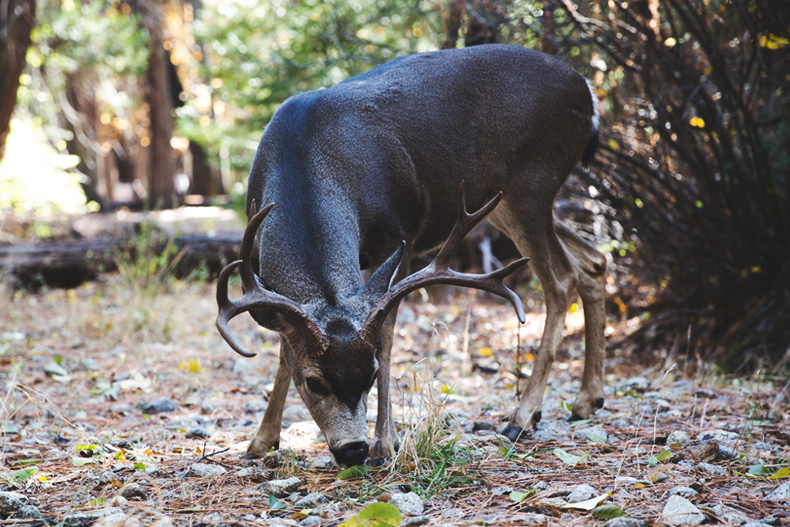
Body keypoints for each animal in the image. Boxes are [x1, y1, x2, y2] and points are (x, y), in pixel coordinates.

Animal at [217, 44, 608, 466]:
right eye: (314, 382)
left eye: (370, 375)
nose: (353, 450)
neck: (303, 159)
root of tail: (588, 93)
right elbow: (282, 348)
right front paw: (261, 440)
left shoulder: (397, 234)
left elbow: (387, 336)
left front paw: (385, 443)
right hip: (505, 203)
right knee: (593, 261)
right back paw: (586, 399)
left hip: (532, 182)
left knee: (561, 278)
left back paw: (521, 416)